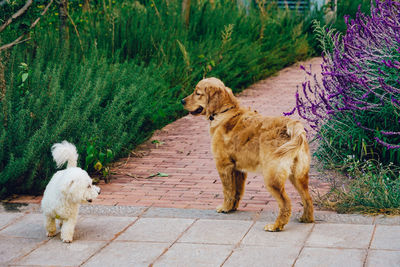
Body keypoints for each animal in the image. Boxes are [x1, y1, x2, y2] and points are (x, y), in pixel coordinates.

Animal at [182, 77, 316, 232]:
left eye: (197, 93)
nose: (182, 101)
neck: (224, 112)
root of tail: (293, 126)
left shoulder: (223, 165)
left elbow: (228, 190)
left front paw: (225, 208)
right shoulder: (238, 169)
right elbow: (237, 192)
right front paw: (232, 208)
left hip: (272, 177)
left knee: (285, 203)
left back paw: (276, 226)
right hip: (299, 175)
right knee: (307, 198)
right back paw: (306, 219)